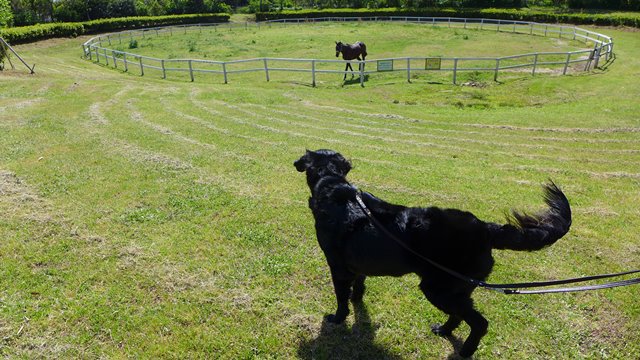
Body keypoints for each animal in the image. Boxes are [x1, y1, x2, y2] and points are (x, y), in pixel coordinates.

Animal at [292, 148, 572, 358]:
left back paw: (465, 351)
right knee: (460, 315)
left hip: (438, 288)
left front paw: (338, 318)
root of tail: (484, 228)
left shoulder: (337, 265)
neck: (331, 185)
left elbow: (341, 296)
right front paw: (356, 301)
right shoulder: (357, 264)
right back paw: (445, 331)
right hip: (458, 287)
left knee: (479, 322)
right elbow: (359, 286)